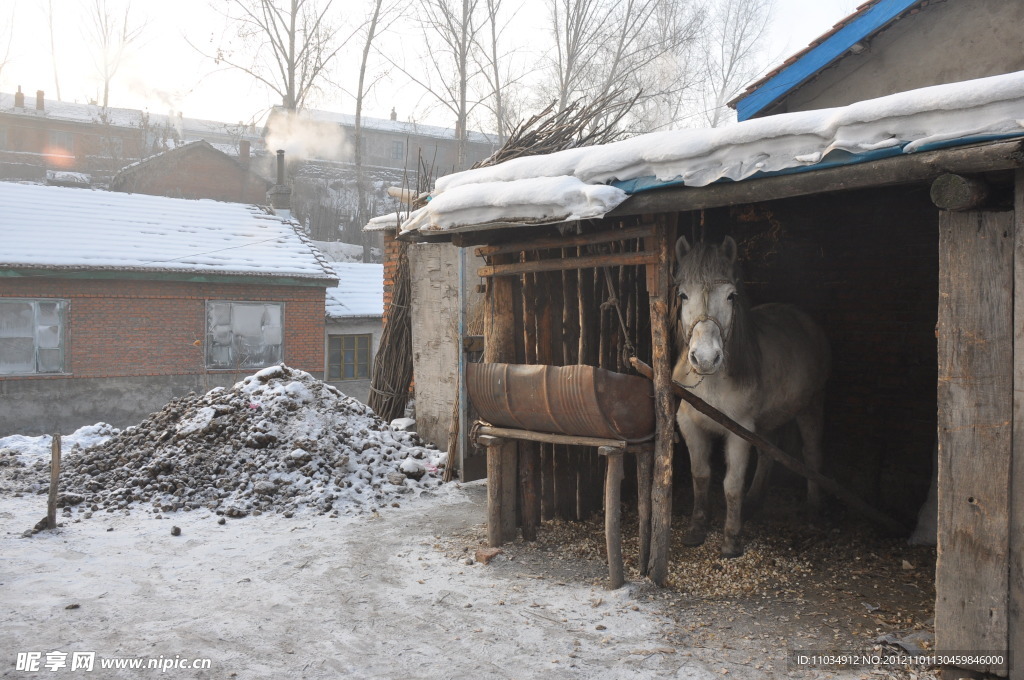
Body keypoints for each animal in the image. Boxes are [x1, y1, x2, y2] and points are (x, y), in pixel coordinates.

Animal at [671, 236, 831, 557]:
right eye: (683, 295)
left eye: (731, 296)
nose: (705, 358)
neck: (710, 384)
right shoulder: (690, 426)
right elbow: (700, 475)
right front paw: (696, 530)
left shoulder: (739, 432)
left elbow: (732, 484)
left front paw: (732, 539)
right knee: (768, 452)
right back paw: (754, 502)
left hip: (812, 406)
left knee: (811, 455)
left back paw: (812, 509)